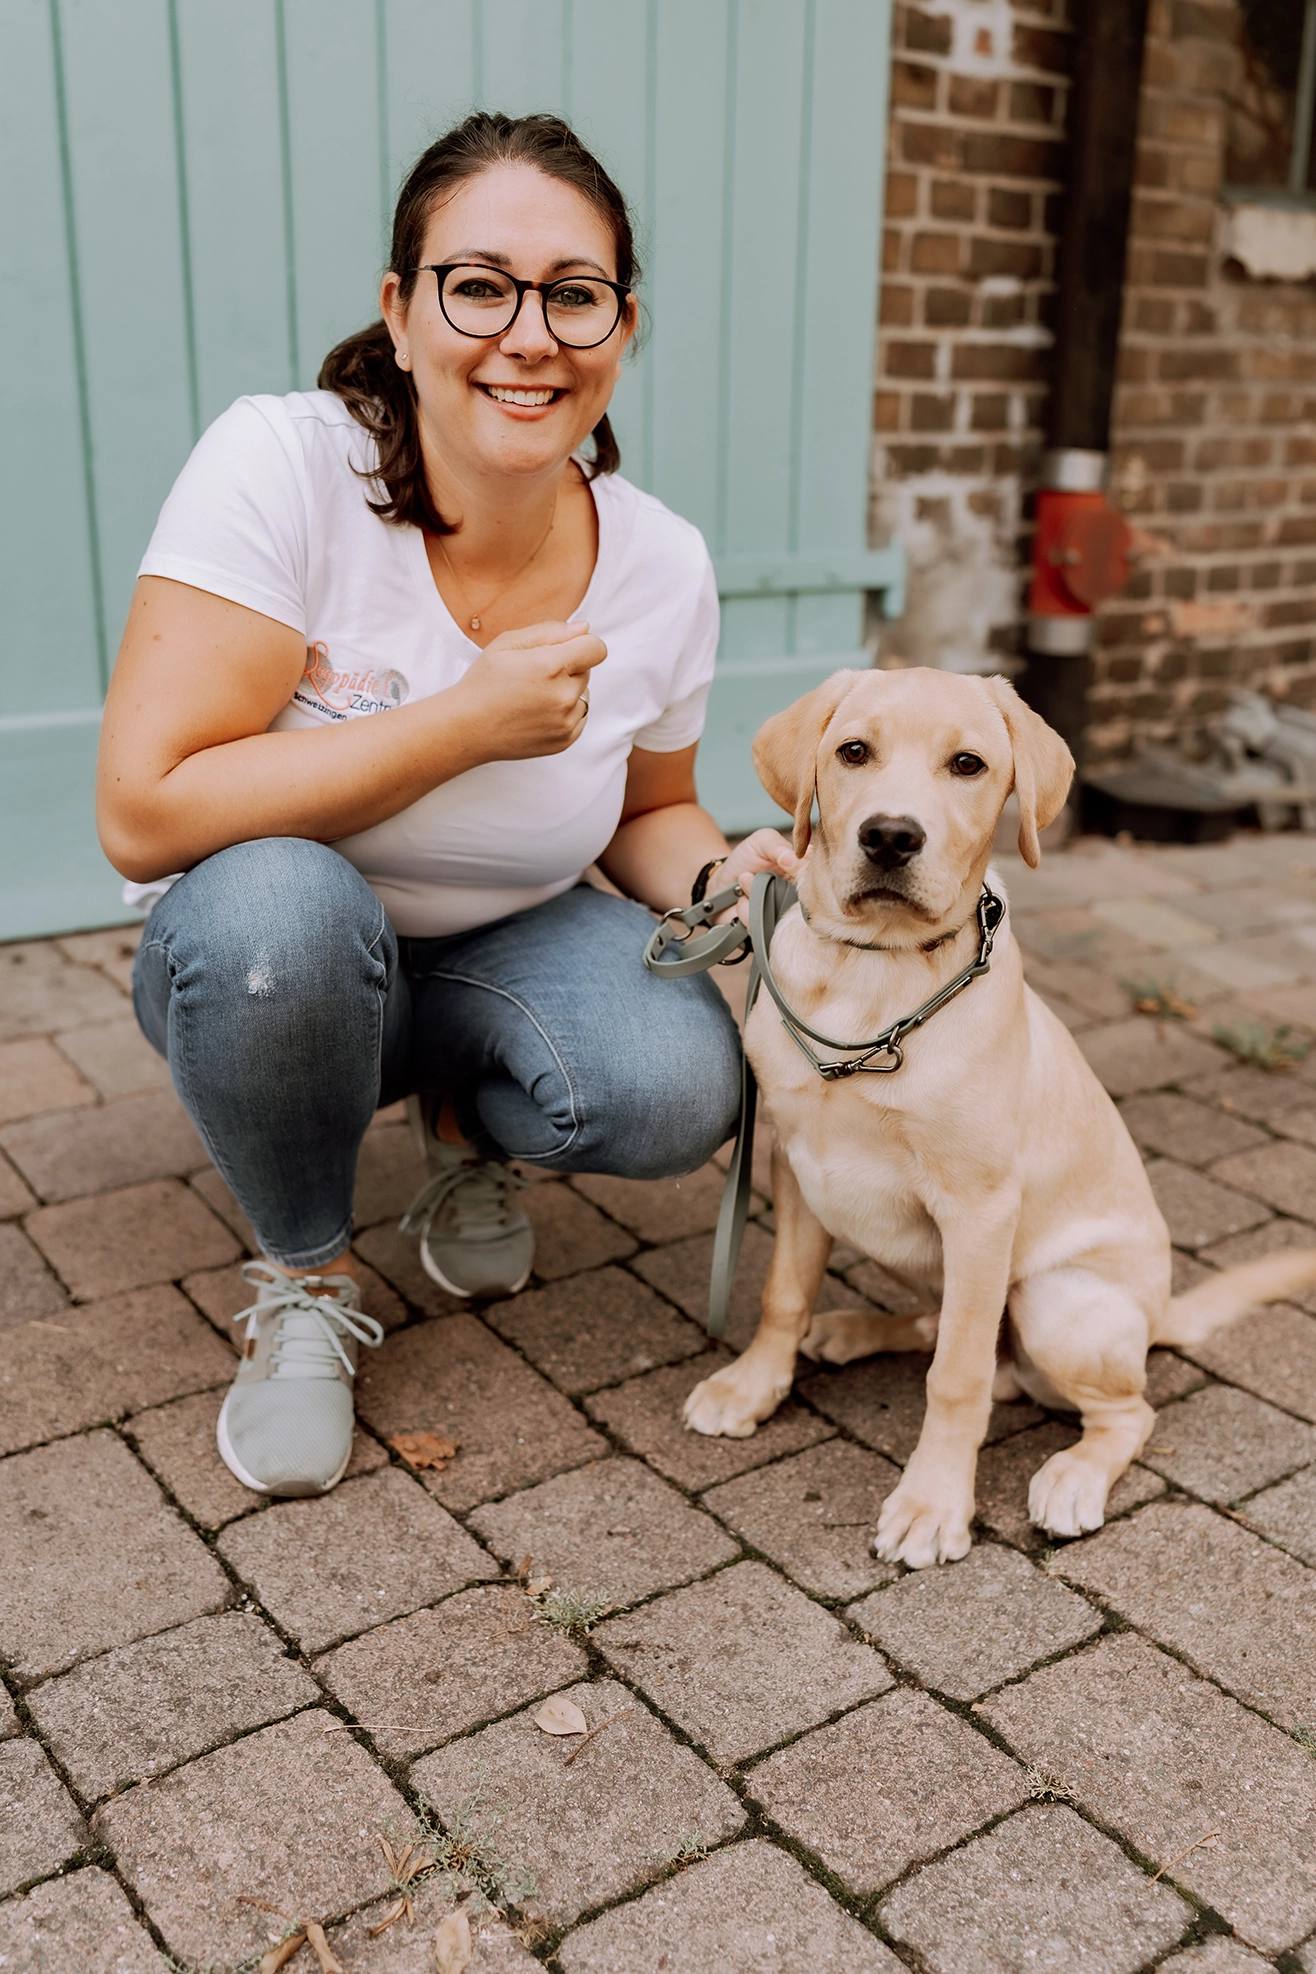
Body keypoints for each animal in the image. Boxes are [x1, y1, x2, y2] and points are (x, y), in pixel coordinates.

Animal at [686, 671, 1310, 1563]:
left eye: (968, 765)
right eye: (853, 752)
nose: (890, 837)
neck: (875, 971)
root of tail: (1158, 1313)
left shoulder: (980, 1212)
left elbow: (958, 1376)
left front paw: (932, 1504)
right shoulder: (797, 1165)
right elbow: (783, 1294)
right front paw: (751, 1387)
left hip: (1055, 1303)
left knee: (1118, 1407)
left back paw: (1073, 1478)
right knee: (944, 1330)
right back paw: (850, 1331)